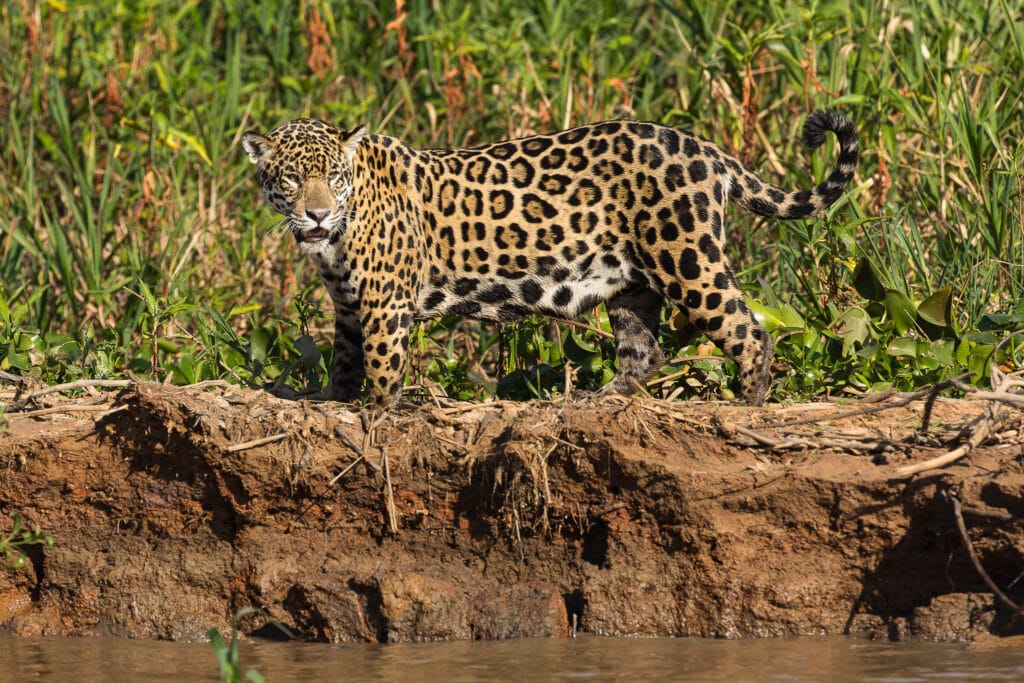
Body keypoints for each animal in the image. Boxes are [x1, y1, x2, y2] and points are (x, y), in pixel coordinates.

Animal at [242, 109, 858, 408]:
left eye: (333, 177)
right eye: (291, 178)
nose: (317, 215)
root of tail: (705, 147)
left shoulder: (384, 302)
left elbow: (382, 363)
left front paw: (378, 413)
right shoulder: (349, 304)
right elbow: (347, 358)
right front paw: (334, 403)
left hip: (687, 261)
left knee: (749, 332)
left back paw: (748, 408)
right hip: (633, 282)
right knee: (645, 351)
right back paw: (596, 401)